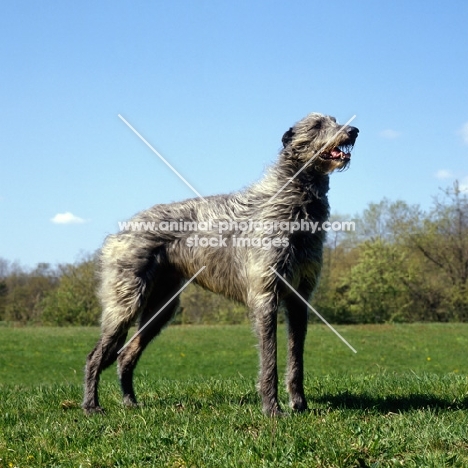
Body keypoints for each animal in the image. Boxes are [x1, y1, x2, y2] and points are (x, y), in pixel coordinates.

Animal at [82, 113, 358, 416]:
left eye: (335, 119)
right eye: (318, 125)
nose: (354, 130)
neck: (293, 200)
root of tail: (119, 232)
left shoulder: (300, 298)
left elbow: (296, 359)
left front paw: (299, 404)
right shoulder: (265, 296)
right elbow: (269, 360)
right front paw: (272, 409)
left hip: (162, 308)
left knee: (125, 355)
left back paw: (130, 401)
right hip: (125, 303)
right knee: (95, 355)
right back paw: (91, 405)